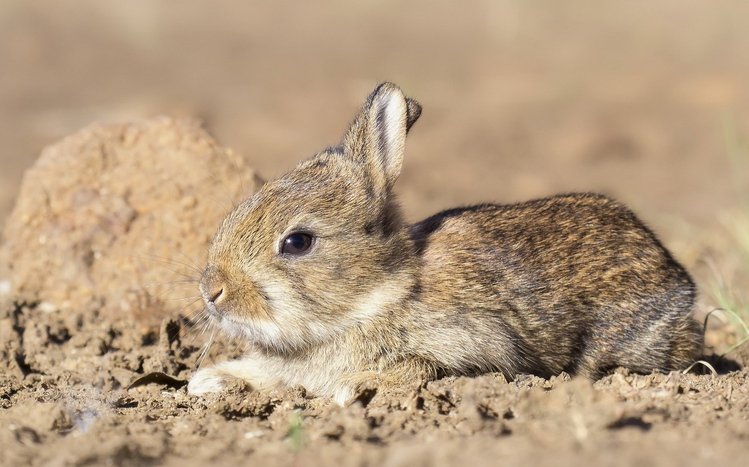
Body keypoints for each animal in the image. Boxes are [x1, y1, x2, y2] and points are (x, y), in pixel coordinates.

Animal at [187, 82, 703, 405]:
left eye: (297, 242)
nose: (211, 291)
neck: (380, 295)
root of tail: (680, 282)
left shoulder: (473, 346)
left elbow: (419, 367)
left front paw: (354, 387)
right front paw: (206, 381)